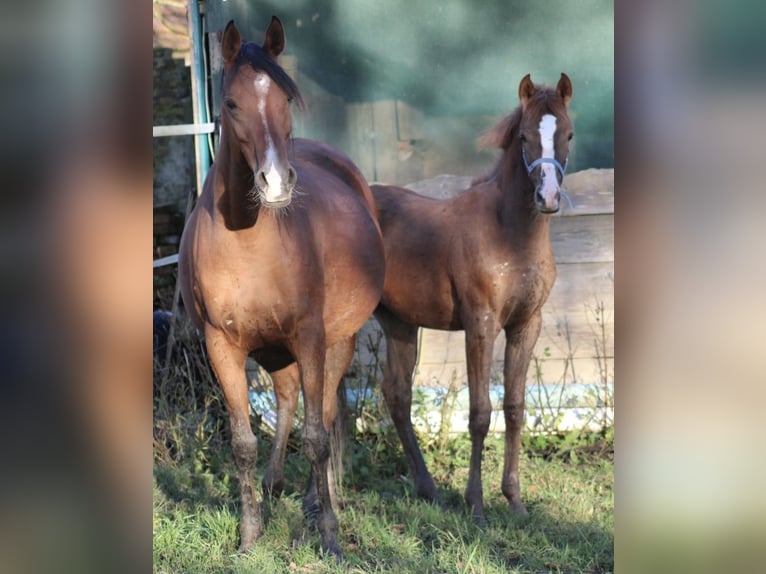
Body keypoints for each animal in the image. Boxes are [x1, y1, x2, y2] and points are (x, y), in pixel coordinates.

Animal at [177, 17, 385, 557]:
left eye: (287, 99)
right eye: (231, 103)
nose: (275, 182)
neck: (248, 240)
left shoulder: (309, 335)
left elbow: (316, 438)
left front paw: (329, 536)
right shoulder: (222, 345)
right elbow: (243, 443)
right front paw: (249, 536)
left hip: (337, 342)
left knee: (324, 414)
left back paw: (317, 501)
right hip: (272, 348)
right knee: (290, 397)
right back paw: (275, 486)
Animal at [371, 73, 574, 525]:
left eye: (568, 134)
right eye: (524, 136)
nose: (548, 198)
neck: (509, 235)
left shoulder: (525, 325)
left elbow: (515, 407)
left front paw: (515, 501)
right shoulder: (480, 325)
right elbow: (480, 413)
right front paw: (477, 505)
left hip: (399, 323)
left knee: (397, 394)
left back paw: (428, 489)